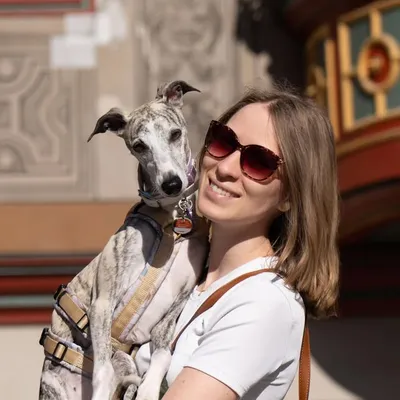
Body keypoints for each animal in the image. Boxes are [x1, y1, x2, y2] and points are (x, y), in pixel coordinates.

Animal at [38, 80, 209, 400]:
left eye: (175, 133)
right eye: (139, 146)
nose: (172, 184)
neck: (171, 225)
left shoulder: (172, 312)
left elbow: (162, 356)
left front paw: (150, 389)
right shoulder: (103, 302)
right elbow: (103, 371)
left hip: (127, 364)